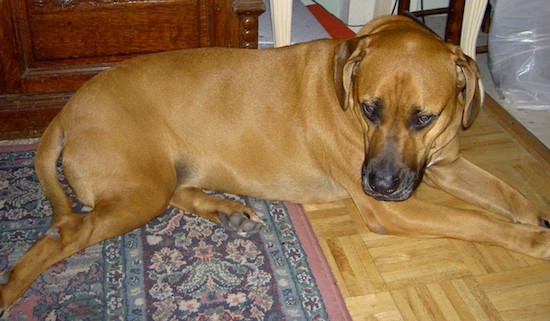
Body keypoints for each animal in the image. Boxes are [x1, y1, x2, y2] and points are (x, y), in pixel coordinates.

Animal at [1, 15, 550, 312]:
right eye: (369, 108)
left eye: (425, 118)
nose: (378, 183)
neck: (343, 79)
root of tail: (67, 108)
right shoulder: (396, 209)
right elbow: (475, 221)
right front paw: (534, 241)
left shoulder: (444, 164)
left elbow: (508, 193)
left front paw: (537, 217)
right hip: (138, 191)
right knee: (63, 234)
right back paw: (11, 289)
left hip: (157, 179)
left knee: (178, 190)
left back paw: (226, 210)